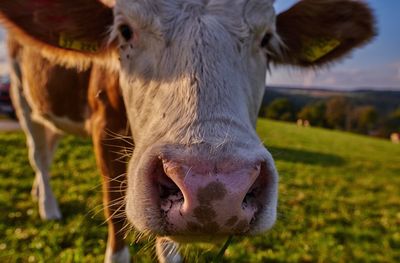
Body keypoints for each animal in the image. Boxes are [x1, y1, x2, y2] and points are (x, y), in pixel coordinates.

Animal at [0, 0, 376, 262]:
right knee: (39, 156)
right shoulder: (104, 130)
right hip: (22, 98)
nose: (215, 190)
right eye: (125, 31)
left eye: (267, 39)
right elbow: (114, 211)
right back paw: (48, 207)